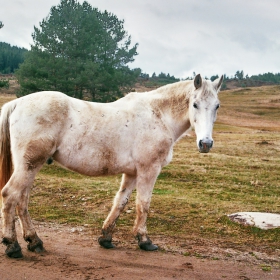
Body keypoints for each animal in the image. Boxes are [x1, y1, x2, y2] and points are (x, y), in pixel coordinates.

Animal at [0, 74, 223, 258]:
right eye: (195, 104)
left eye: (217, 106)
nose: (205, 143)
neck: (158, 115)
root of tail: (18, 103)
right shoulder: (148, 170)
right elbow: (143, 204)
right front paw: (144, 240)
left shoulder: (132, 174)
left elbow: (121, 202)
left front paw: (106, 237)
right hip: (29, 165)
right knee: (10, 195)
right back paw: (13, 246)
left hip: (30, 167)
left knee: (22, 200)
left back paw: (34, 241)